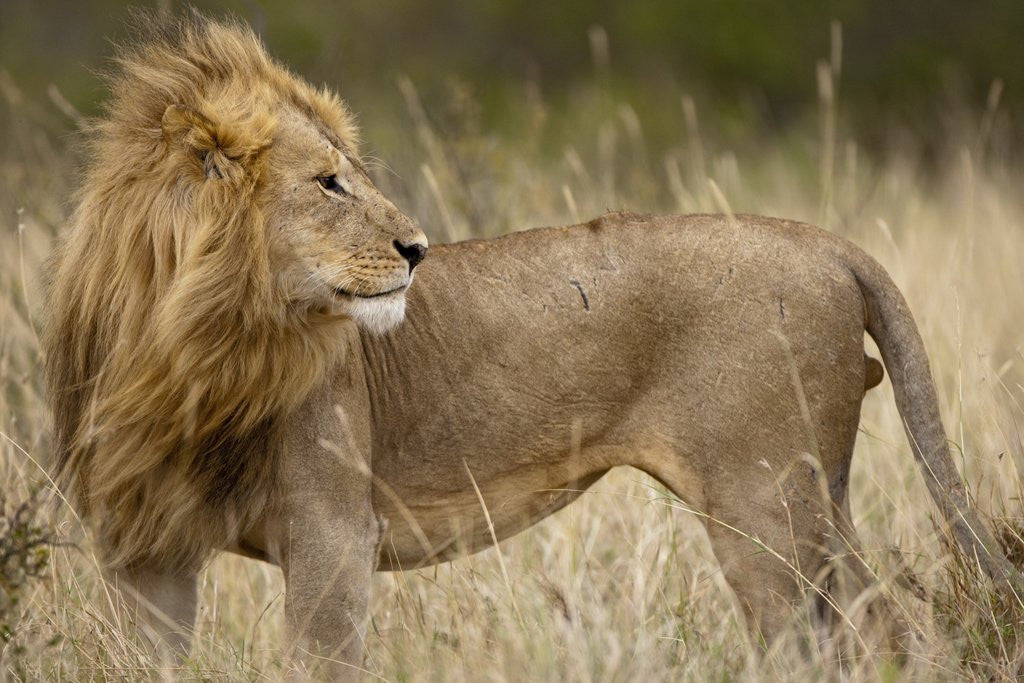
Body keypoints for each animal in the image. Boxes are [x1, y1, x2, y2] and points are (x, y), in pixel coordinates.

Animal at [44, 13, 1017, 679]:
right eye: (327, 183)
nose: (418, 248)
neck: (188, 351)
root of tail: (826, 242)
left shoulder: (331, 533)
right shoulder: (145, 552)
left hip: (765, 505)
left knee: (822, 638)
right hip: (819, 500)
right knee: (889, 623)